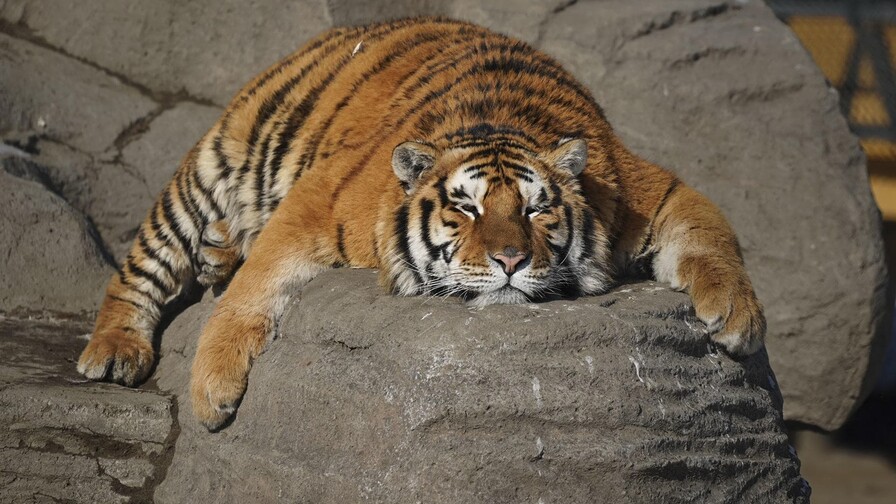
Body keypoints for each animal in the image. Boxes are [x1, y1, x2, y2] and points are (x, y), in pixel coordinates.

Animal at [77, 17, 766, 430]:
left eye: (536, 208)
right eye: (465, 208)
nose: (511, 261)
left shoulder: (652, 189)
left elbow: (711, 237)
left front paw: (738, 318)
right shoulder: (318, 198)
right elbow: (256, 285)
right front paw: (212, 389)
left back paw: (219, 253)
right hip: (212, 164)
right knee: (143, 265)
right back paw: (114, 352)